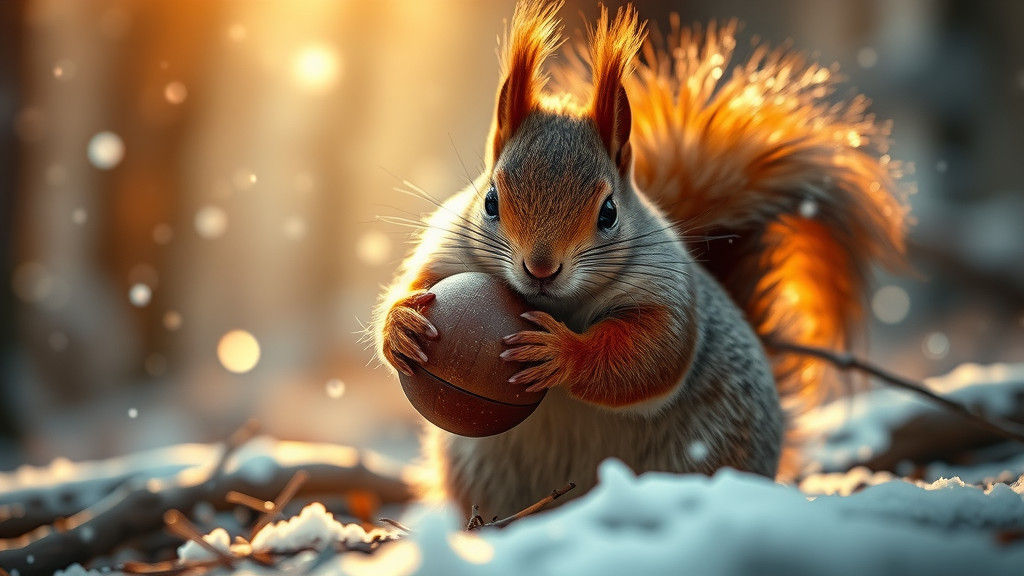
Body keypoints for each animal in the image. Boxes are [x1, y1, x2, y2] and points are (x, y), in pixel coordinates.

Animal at [374, 1, 908, 519]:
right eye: (489, 202)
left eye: (609, 212)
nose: (541, 268)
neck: (558, 305)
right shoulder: (446, 248)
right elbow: (415, 283)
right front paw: (401, 325)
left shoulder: (665, 288)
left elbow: (650, 352)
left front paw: (561, 352)